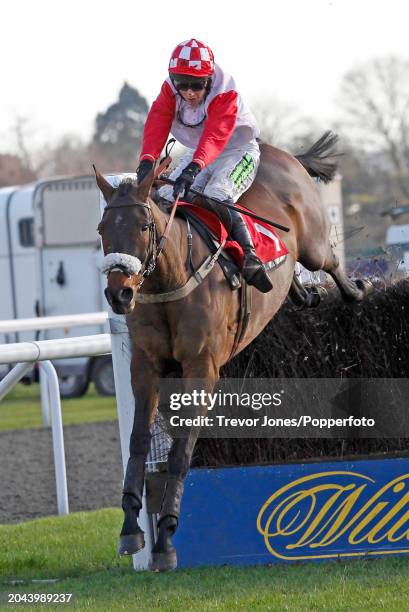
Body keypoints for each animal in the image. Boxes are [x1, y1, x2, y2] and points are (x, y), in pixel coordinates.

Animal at [95, 131, 370, 572]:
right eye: (103, 227)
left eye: (143, 224)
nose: (119, 293)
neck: (172, 280)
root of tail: (283, 153)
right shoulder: (145, 367)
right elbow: (138, 443)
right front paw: (131, 529)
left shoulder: (201, 368)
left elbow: (181, 451)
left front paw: (166, 538)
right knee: (293, 280)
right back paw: (300, 291)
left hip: (312, 241)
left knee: (329, 262)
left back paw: (356, 289)